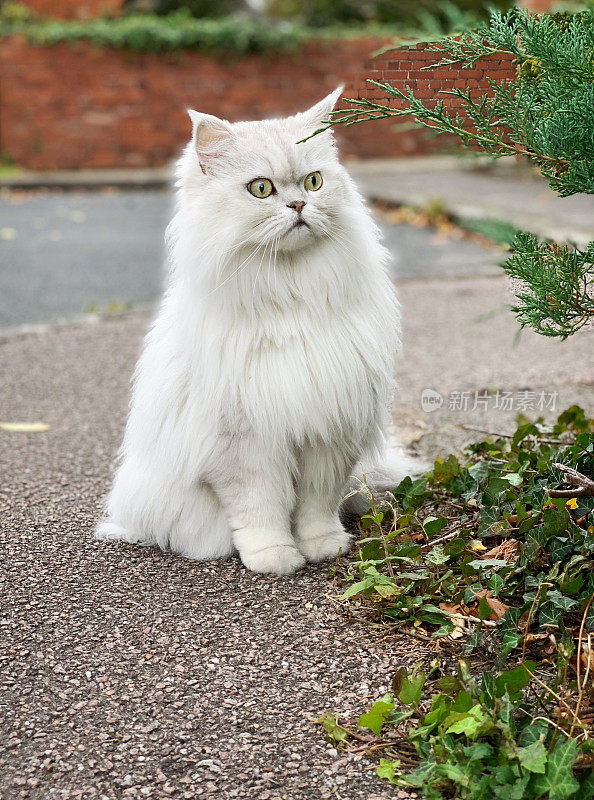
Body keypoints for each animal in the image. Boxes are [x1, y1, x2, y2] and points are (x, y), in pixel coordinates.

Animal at [95, 89, 414, 576]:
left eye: (314, 182)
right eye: (260, 188)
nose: (299, 206)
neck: (290, 297)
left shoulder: (328, 434)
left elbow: (316, 506)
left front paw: (323, 547)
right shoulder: (243, 447)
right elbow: (262, 509)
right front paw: (275, 558)